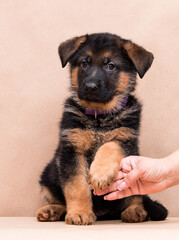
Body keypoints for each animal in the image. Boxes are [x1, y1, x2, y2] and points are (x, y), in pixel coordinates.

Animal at [36, 32, 168, 224]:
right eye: (84, 63)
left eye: (110, 66)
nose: (90, 87)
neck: (99, 117)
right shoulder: (71, 151)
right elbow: (76, 187)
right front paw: (79, 213)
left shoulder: (126, 141)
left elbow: (110, 145)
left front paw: (100, 174)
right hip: (48, 174)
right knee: (59, 198)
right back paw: (53, 210)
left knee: (135, 196)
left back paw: (135, 210)